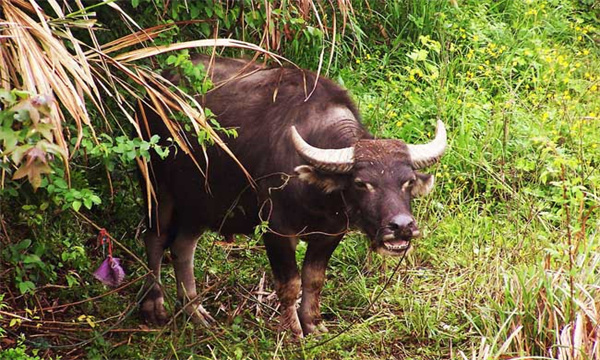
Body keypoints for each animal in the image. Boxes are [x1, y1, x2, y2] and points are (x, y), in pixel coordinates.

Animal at [139, 54, 446, 336]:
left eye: (407, 182)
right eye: (361, 183)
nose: (402, 226)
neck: (318, 198)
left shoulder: (331, 233)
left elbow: (314, 279)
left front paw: (313, 323)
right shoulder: (275, 231)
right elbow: (290, 284)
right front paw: (293, 331)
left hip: (200, 203)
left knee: (182, 247)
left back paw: (195, 311)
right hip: (155, 184)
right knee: (155, 238)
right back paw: (154, 306)